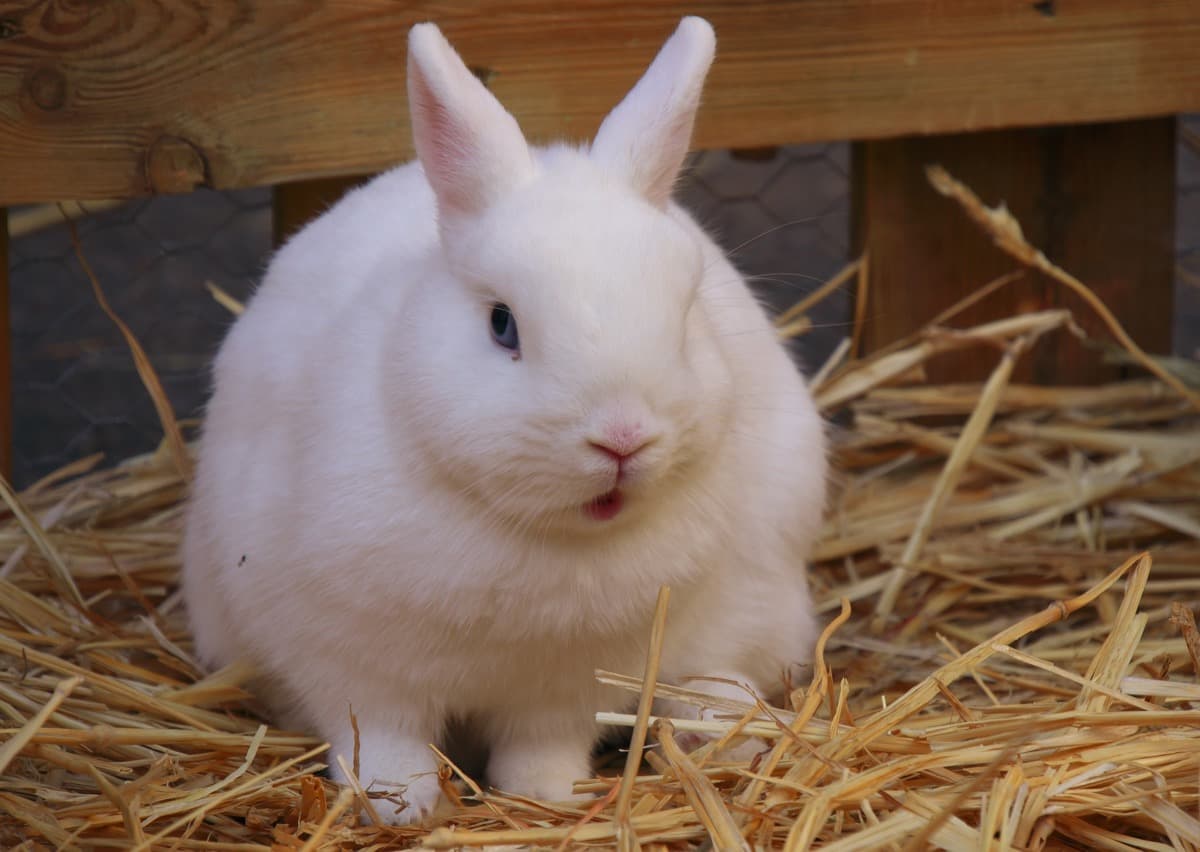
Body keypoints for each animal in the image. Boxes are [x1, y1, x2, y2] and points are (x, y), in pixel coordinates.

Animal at [181, 15, 827, 825]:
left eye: (683, 320)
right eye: (502, 324)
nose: (622, 438)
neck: (542, 539)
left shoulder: (575, 684)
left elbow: (542, 744)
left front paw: (544, 797)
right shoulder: (354, 665)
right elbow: (382, 739)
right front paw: (400, 808)